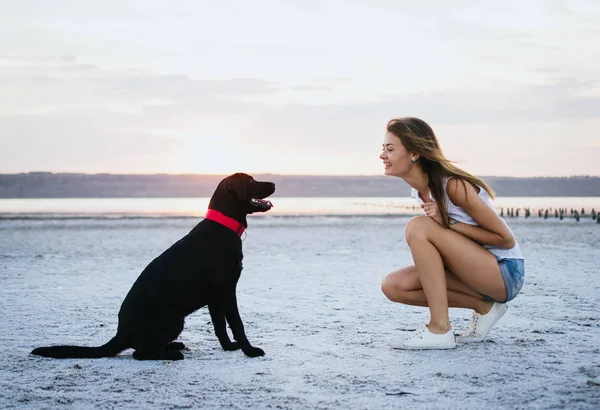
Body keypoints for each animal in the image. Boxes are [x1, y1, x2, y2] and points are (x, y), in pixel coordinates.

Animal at [31, 172, 276, 358]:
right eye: (251, 181)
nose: (274, 184)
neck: (223, 227)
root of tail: (121, 335)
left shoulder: (214, 297)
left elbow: (220, 326)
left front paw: (229, 347)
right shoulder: (226, 290)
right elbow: (236, 323)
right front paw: (249, 350)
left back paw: (173, 346)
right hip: (174, 319)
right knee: (139, 353)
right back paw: (172, 353)